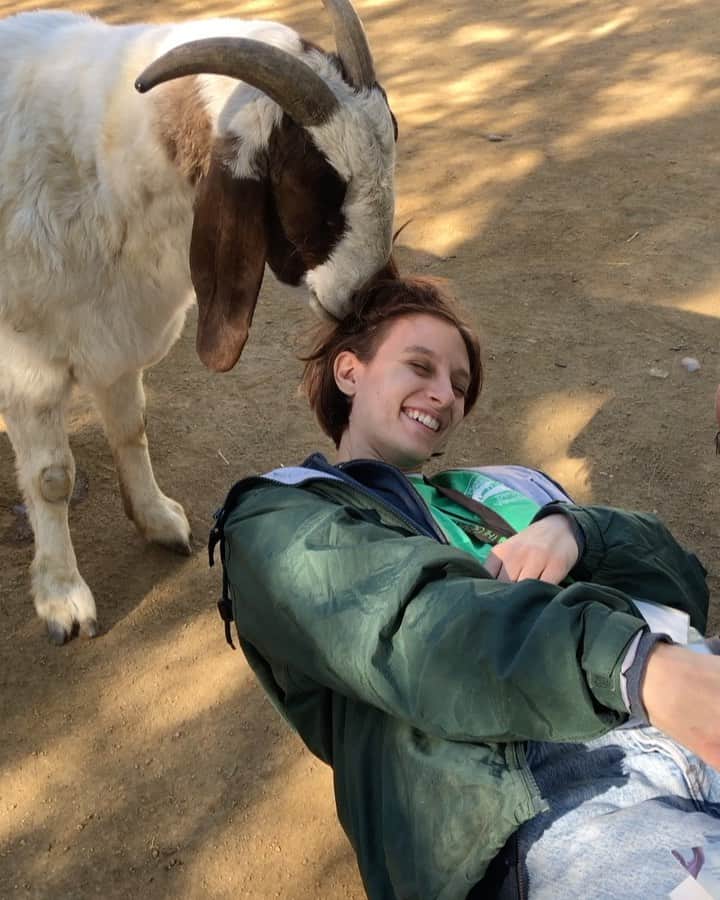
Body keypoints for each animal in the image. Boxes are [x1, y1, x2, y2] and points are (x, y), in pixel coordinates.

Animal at [0, 1, 397, 643]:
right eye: (313, 179)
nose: (367, 299)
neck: (101, 157)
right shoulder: (28, 361)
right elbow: (52, 479)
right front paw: (62, 597)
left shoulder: (114, 337)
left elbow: (130, 429)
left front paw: (157, 519)